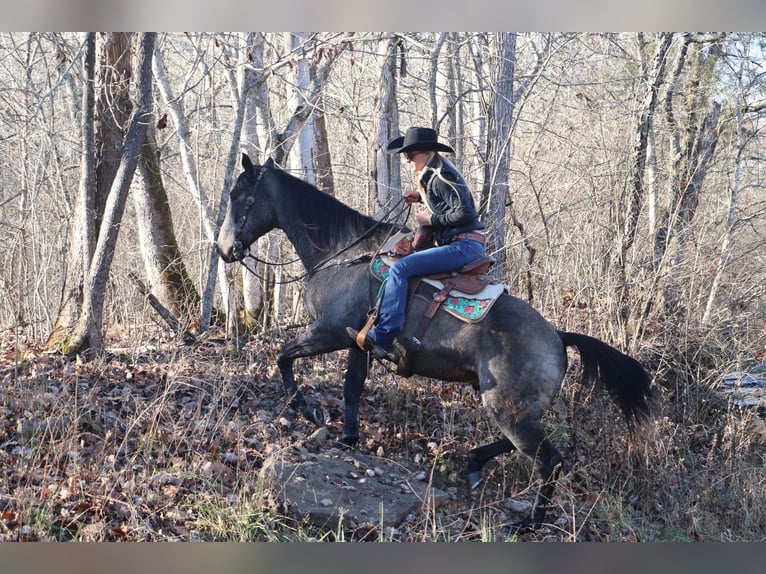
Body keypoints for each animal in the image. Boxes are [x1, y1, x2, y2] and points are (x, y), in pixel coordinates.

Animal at [213, 154, 656, 536]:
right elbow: (352, 387)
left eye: (238, 195)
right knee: (521, 445)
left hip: (509, 411)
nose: (223, 248)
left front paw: (307, 411)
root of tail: (558, 338)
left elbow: (284, 358)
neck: (344, 254)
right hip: (507, 406)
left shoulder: (329, 332)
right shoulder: (357, 342)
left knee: (551, 461)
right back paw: (474, 464)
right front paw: (348, 437)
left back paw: (528, 521)